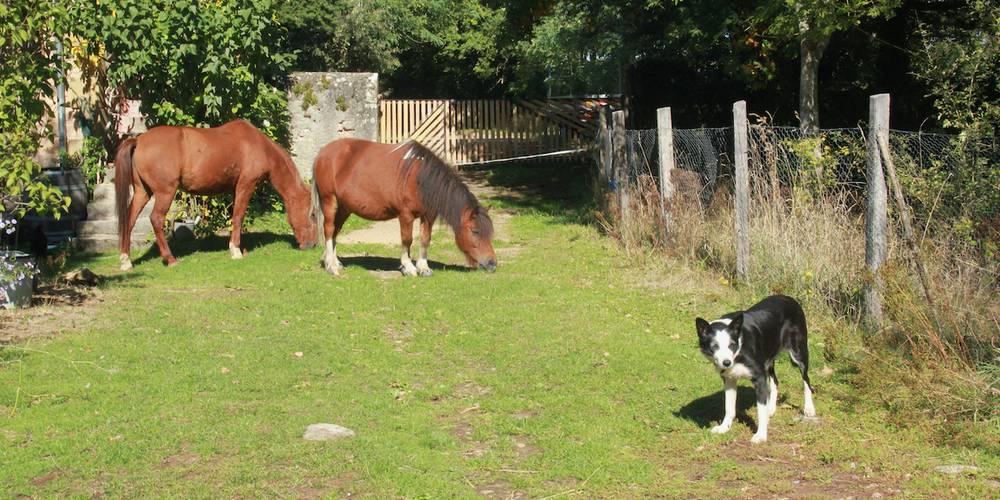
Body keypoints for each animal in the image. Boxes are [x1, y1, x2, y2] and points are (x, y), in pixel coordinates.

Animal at [114, 119, 317, 270]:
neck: (259, 145)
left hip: (142, 192)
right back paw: (170, 259)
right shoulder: (246, 184)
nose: (312, 245)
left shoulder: (235, 188)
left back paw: (126, 261)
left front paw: (238, 247)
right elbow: (239, 216)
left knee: (129, 220)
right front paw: (235, 251)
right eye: (313, 214)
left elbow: (234, 216)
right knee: (156, 219)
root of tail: (139, 140)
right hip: (165, 192)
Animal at [311, 138, 496, 277]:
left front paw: (424, 267)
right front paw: (408, 267)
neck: (420, 178)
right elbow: (407, 239)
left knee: (335, 231)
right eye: (475, 231)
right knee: (329, 229)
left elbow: (425, 239)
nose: (492, 263)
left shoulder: (428, 216)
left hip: (345, 208)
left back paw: (335, 262)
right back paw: (331, 266)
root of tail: (322, 153)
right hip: (329, 201)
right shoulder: (405, 215)